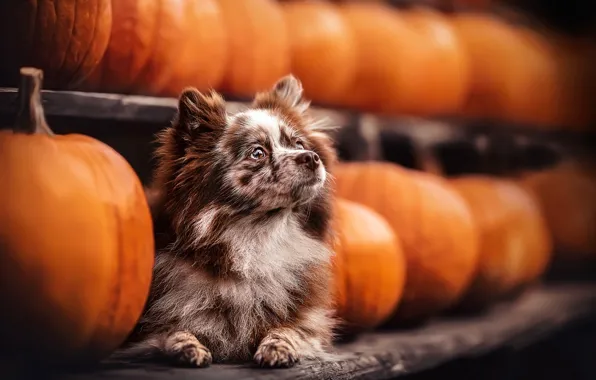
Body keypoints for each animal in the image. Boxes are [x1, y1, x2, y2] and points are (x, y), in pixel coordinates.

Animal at [123, 75, 338, 368]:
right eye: (257, 153)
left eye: (299, 145)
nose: (311, 158)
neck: (255, 238)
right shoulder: (150, 324)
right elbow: (171, 331)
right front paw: (186, 345)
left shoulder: (310, 321)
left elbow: (290, 329)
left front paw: (278, 346)